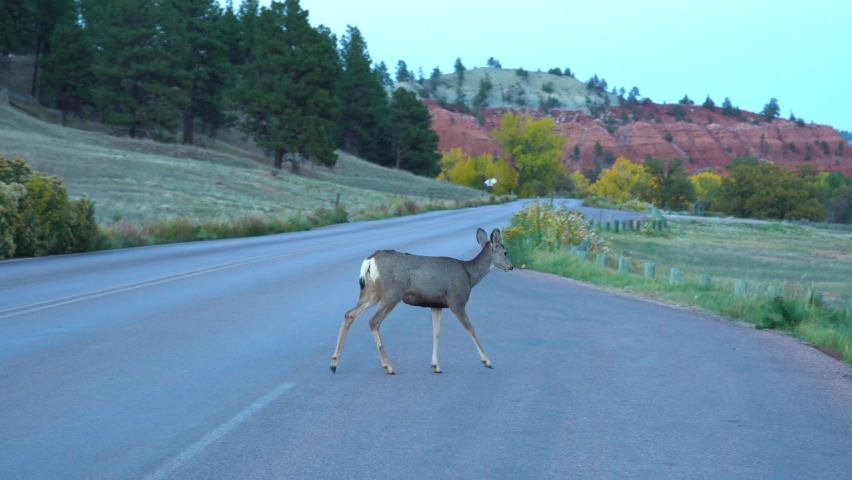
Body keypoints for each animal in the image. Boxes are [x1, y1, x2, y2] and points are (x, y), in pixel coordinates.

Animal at [330, 228, 513, 375]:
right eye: (505, 252)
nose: (511, 267)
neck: (469, 275)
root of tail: (370, 260)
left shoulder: (436, 304)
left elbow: (436, 331)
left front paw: (436, 365)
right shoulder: (457, 300)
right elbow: (470, 328)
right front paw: (487, 361)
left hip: (372, 292)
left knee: (349, 314)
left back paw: (334, 363)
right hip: (392, 293)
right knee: (373, 321)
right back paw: (388, 366)